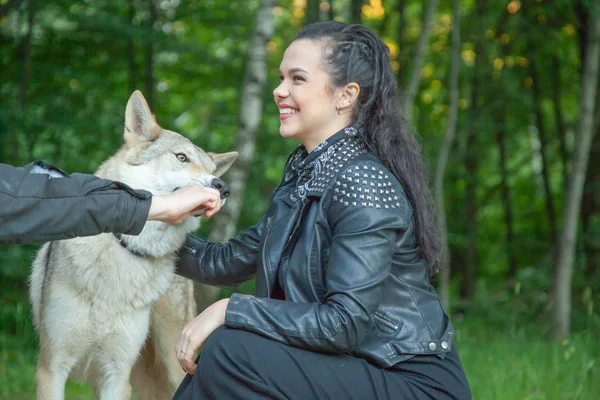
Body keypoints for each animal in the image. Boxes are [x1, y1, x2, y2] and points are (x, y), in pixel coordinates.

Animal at [29, 91, 237, 400]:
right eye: (181, 157)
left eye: (212, 170)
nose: (222, 187)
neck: (125, 249)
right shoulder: (51, 369)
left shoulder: (117, 375)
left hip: (172, 365)